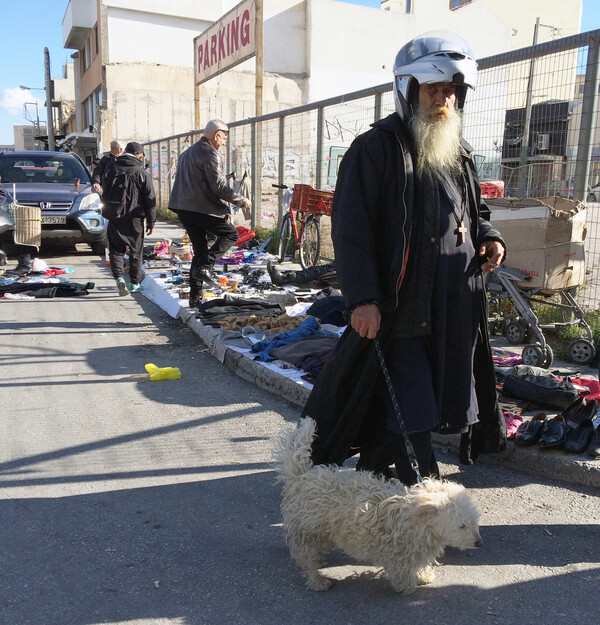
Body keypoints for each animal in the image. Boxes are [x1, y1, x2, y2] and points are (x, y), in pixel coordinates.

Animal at [272, 416, 482, 592]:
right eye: (461, 526)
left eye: (475, 521)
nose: (479, 543)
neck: (416, 519)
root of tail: (301, 477)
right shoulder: (400, 554)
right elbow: (402, 572)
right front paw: (408, 585)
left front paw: (423, 575)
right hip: (305, 533)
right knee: (306, 560)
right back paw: (318, 580)